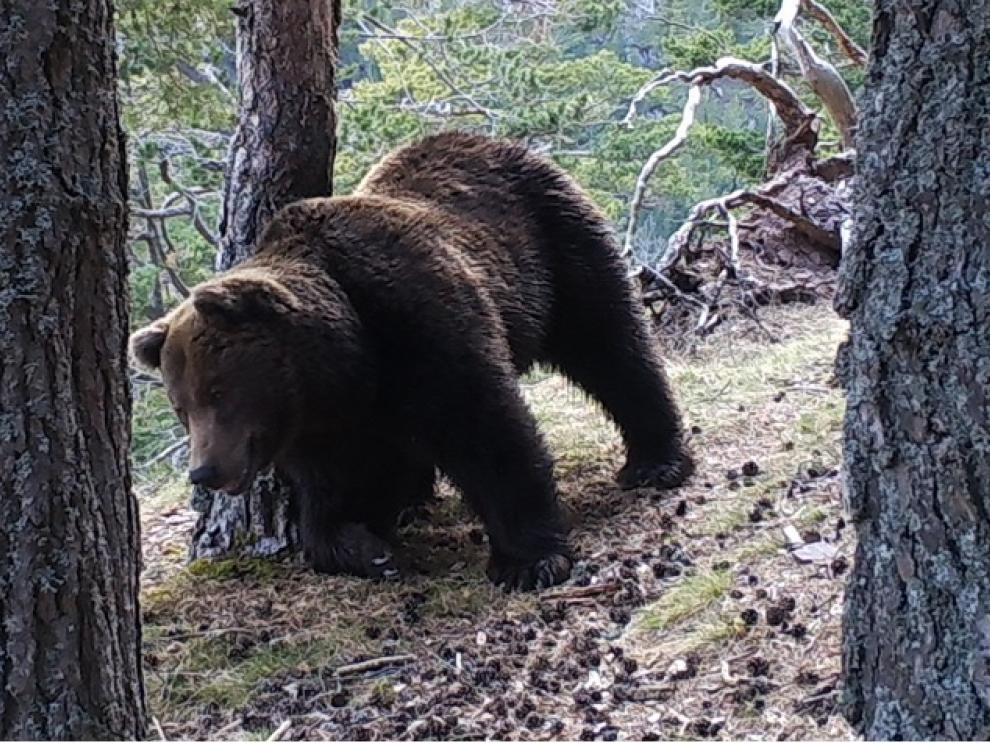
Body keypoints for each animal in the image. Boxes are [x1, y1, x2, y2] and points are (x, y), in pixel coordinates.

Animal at [129, 131, 693, 591]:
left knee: (610, 344)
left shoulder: (419, 321)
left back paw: (656, 460)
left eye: (217, 393)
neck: (347, 356)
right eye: (181, 408)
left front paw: (527, 560)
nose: (204, 471)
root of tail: (485, 138)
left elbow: (487, 430)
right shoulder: (328, 418)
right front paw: (363, 546)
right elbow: (333, 487)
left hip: (552, 242)